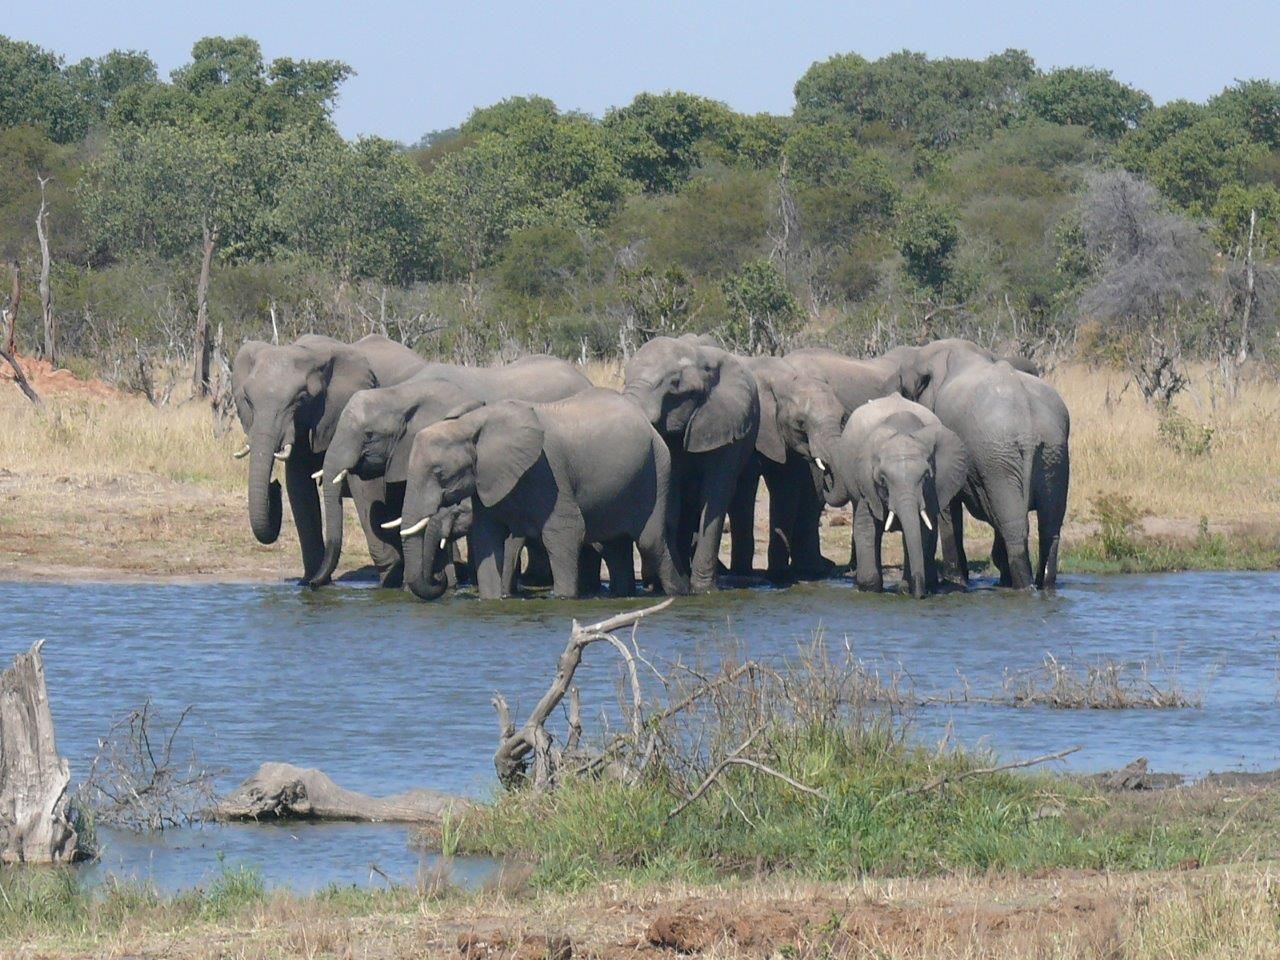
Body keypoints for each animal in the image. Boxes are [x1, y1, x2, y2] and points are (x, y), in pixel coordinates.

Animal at [231, 334, 425, 584]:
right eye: (248, 399)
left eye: (301, 399)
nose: (273, 486)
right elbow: (298, 486)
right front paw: (309, 583)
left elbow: (365, 487)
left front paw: (389, 579)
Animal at [396, 388, 688, 601]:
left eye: (439, 473)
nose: (440, 580)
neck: (471, 425)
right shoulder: (488, 481)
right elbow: (486, 539)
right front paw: (492, 601)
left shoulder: (549, 473)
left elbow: (565, 532)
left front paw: (563, 599)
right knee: (614, 546)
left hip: (656, 469)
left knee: (649, 542)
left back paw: (680, 594)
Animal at [622, 336, 760, 592]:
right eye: (625, 375)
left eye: (675, 384)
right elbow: (672, 497)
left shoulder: (728, 425)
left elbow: (715, 496)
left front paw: (703, 590)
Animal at [727, 355, 847, 580]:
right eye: (800, 423)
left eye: (843, 418)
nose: (827, 472)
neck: (781, 380)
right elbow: (743, 488)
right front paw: (745, 574)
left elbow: (786, 489)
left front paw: (778, 575)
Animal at [822, 394, 968, 598]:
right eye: (883, 480)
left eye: (926, 476)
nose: (919, 595)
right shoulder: (866, 483)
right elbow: (867, 528)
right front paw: (869, 589)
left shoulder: (933, 489)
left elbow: (923, 530)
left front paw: (906, 589)